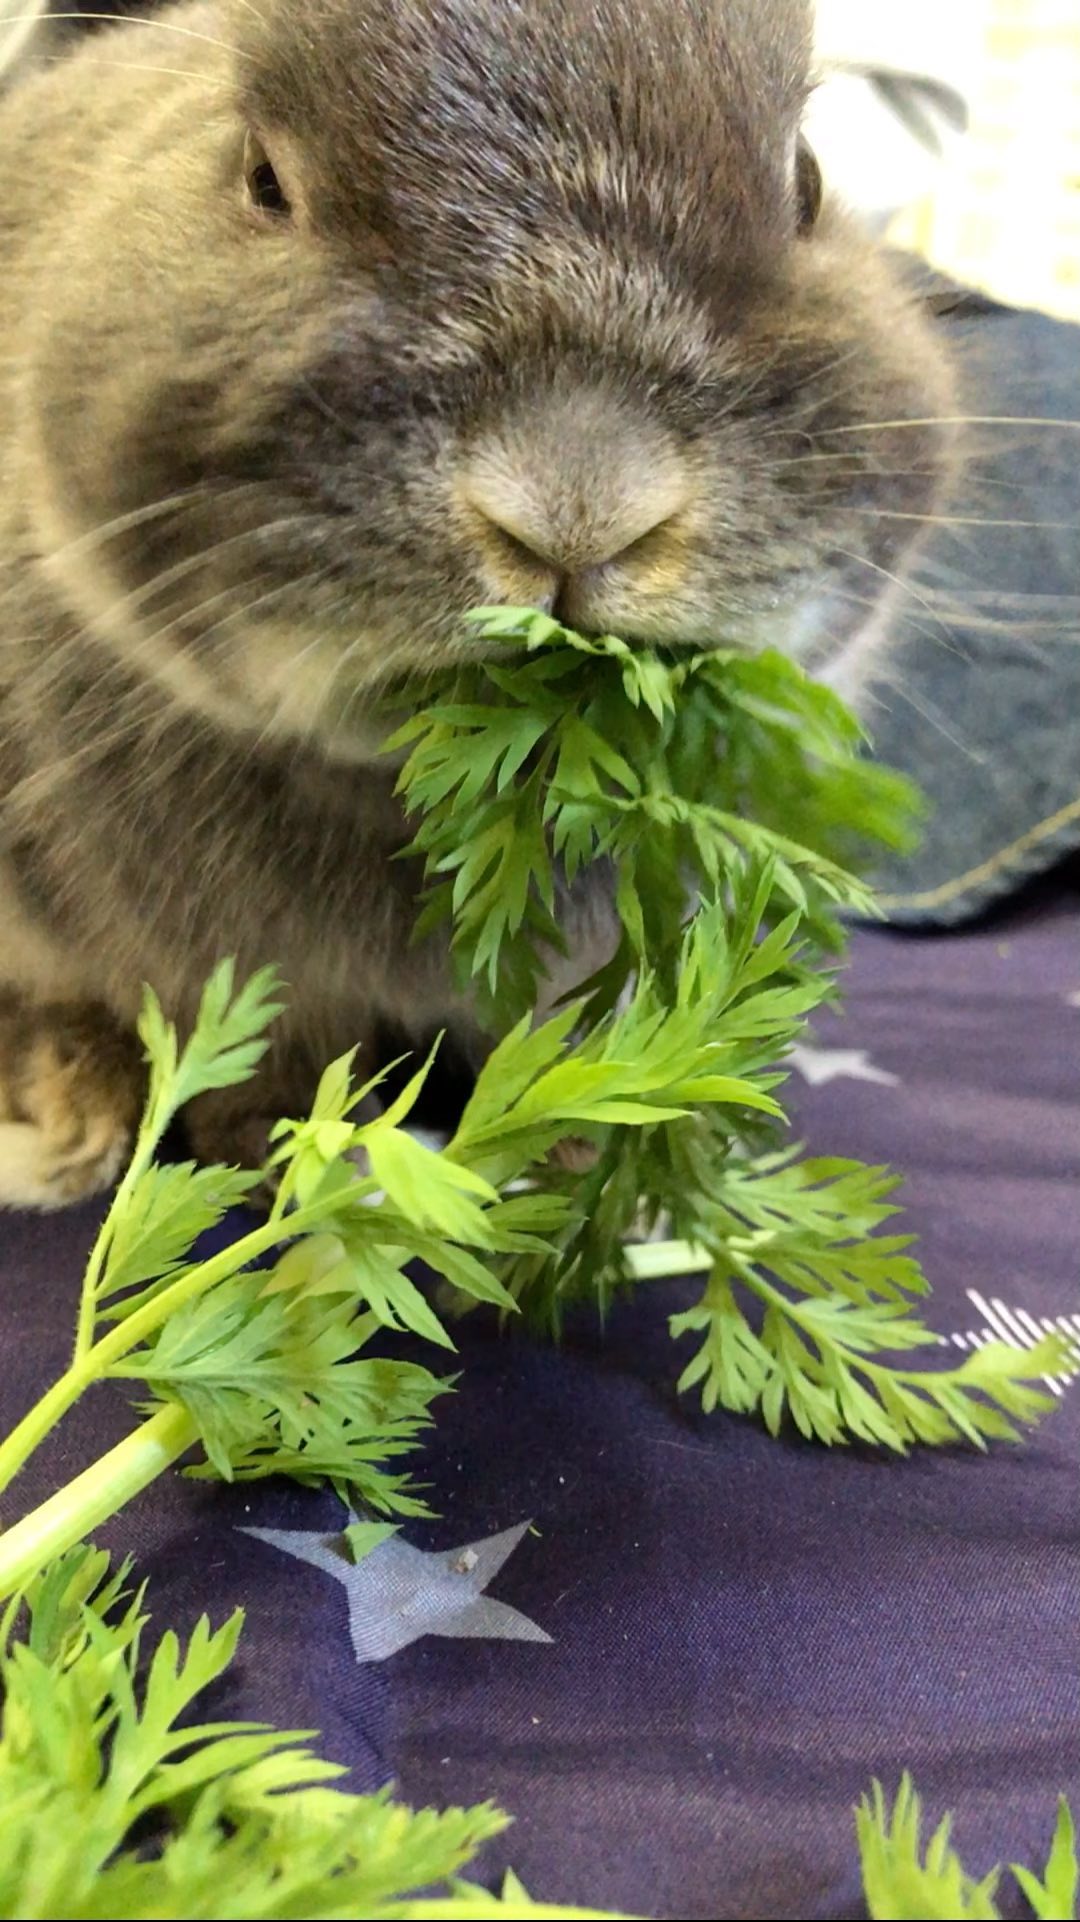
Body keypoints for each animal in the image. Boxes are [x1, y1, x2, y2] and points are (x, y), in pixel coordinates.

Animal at [0, 0, 955, 1207]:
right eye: (262, 180)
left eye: (808, 182)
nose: (581, 497)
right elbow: (255, 1041)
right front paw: (268, 1148)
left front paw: (587, 1145)